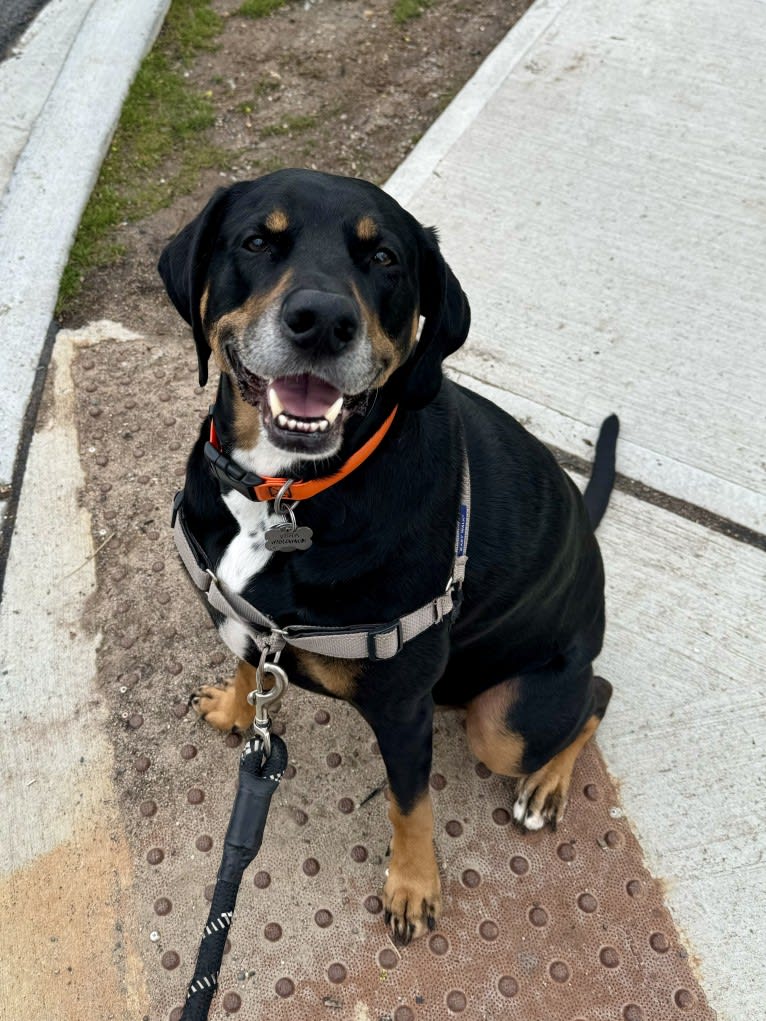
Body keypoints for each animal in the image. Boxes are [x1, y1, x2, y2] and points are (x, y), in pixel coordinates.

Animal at [159, 167, 620, 939]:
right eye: (256, 241)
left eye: (384, 259)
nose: (321, 321)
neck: (283, 494)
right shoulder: (253, 624)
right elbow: (249, 666)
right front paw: (232, 708)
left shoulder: (404, 711)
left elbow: (412, 804)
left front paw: (412, 885)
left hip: (508, 721)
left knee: (594, 697)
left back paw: (547, 784)